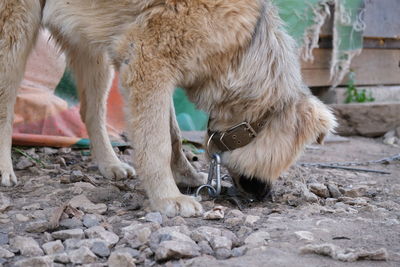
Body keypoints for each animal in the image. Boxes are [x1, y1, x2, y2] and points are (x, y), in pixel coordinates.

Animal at [0, 0, 336, 218]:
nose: (264, 197)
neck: (242, 49)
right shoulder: (148, 61)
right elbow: (157, 143)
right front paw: (167, 197)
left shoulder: (161, 70)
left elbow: (172, 134)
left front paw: (184, 176)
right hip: (15, 29)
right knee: (6, 103)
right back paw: (4, 169)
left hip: (89, 40)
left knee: (90, 111)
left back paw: (109, 163)